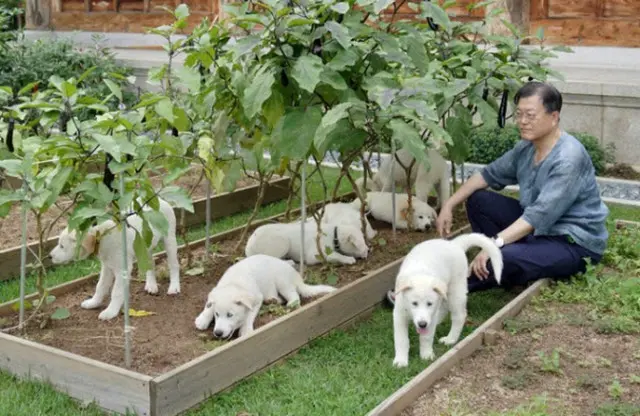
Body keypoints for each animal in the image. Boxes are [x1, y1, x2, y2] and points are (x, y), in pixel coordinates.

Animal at [48, 197, 180, 320]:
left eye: (62, 246)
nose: (49, 256)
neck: (101, 236)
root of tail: (160, 200)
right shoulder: (106, 267)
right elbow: (100, 286)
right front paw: (93, 302)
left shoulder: (122, 269)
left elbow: (116, 292)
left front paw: (110, 311)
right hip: (144, 246)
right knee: (150, 263)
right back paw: (151, 285)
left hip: (170, 240)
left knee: (174, 265)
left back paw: (174, 287)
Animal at [194, 255, 336, 340]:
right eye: (217, 314)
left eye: (230, 315)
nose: (217, 333)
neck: (234, 283)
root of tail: (297, 277)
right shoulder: (215, 292)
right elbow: (209, 305)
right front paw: (202, 319)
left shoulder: (257, 299)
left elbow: (249, 315)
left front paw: (246, 330)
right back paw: (273, 300)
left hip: (282, 281)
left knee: (294, 295)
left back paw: (290, 304)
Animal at [392, 234, 502, 368]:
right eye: (414, 303)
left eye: (429, 304)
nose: (422, 324)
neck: (420, 273)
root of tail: (454, 244)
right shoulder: (399, 314)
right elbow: (401, 339)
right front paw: (401, 361)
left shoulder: (431, 313)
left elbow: (426, 337)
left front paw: (426, 355)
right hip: (444, 292)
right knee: (444, 308)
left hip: (456, 291)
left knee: (459, 315)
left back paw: (450, 339)